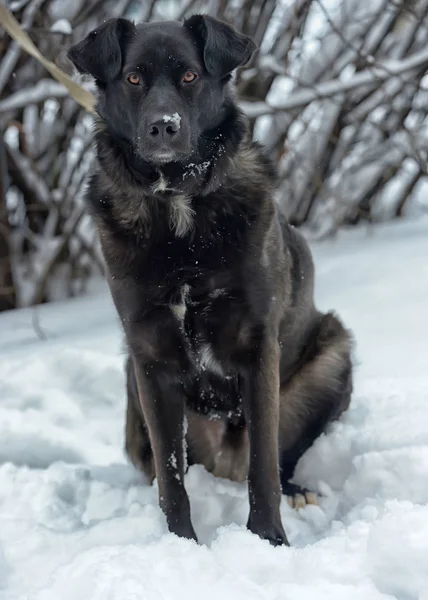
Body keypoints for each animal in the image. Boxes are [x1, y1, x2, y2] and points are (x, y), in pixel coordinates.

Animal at [68, 15, 352, 548]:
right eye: (133, 78)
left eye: (189, 76)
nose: (164, 126)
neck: (178, 205)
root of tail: (224, 464)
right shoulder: (150, 358)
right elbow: (172, 479)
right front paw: (181, 546)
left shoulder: (257, 348)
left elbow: (263, 468)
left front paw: (269, 541)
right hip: (132, 380)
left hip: (332, 352)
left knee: (278, 461)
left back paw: (298, 492)